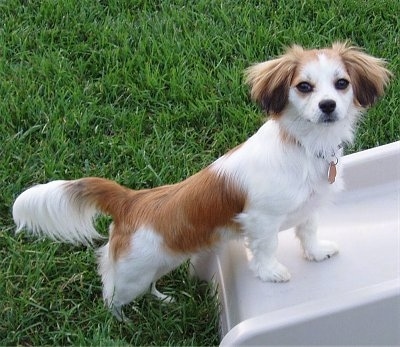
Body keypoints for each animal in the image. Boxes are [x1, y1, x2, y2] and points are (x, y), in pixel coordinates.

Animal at [11, 42, 390, 320]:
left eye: (341, 84)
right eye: (304, 87)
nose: (327, 105)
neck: (304, 144)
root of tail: (132, 199)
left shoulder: (309, 207)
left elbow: (308, 231)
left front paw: (316, 252)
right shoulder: (261, 219)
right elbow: (266, 248)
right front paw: (270, 272)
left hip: (158, 263)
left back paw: (162, 300)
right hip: (133, 274)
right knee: (111, 291)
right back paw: (122, 320)